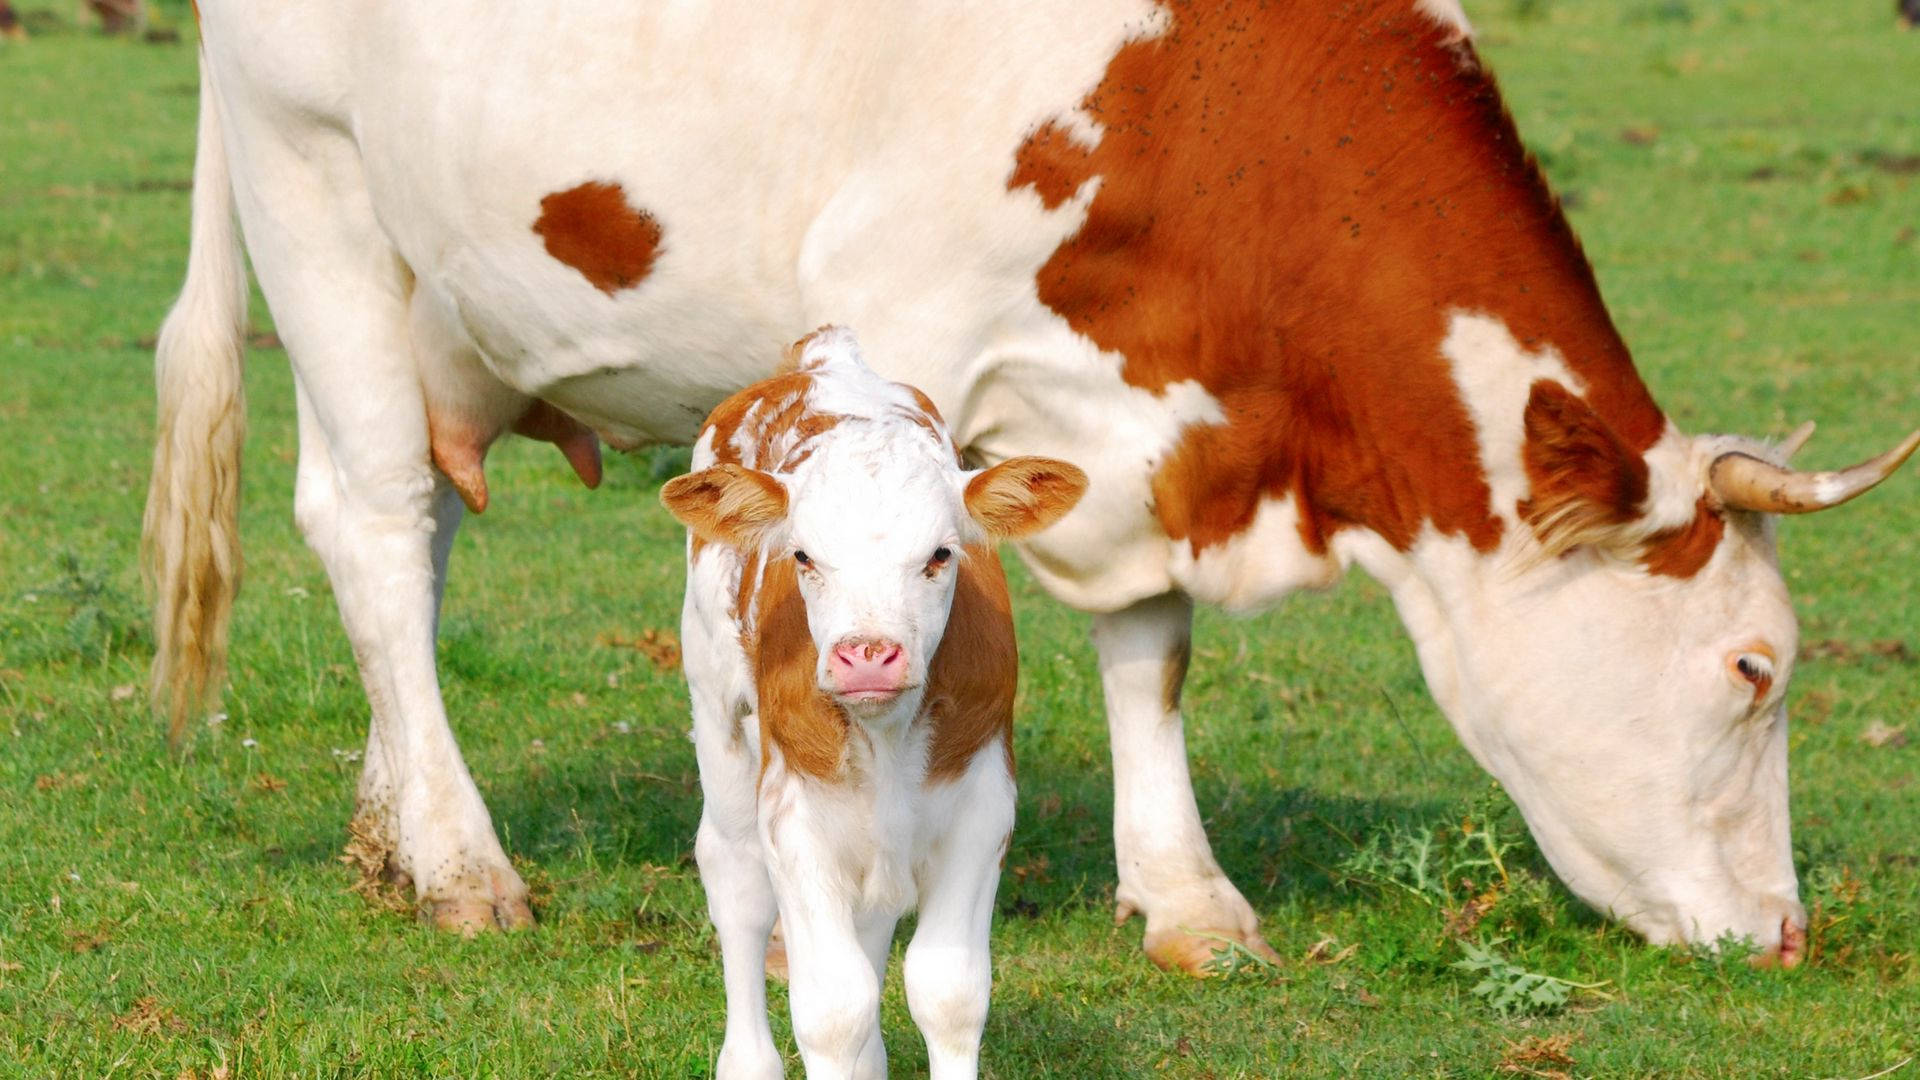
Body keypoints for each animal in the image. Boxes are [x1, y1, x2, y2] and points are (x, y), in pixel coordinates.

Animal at [147, 0, 1917, 973]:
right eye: (1753, 670)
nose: (1786, 933)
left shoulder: (1147, 430)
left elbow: (1150, 646)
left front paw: (1188, 898)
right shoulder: (895, 318)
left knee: (423, 535)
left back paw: (390, 828)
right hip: (316, 193)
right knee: (374, 530)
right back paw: (461, 866)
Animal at [659, 326, 1085, 1079]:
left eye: (941, 554)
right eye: (803, 556)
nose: (867, 654)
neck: (886, 734)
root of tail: (823, 355)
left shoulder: (983, 802)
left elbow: (949, 991)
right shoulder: (793, 810)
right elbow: (833, 1008)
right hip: (716, 707)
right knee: (736, 880)